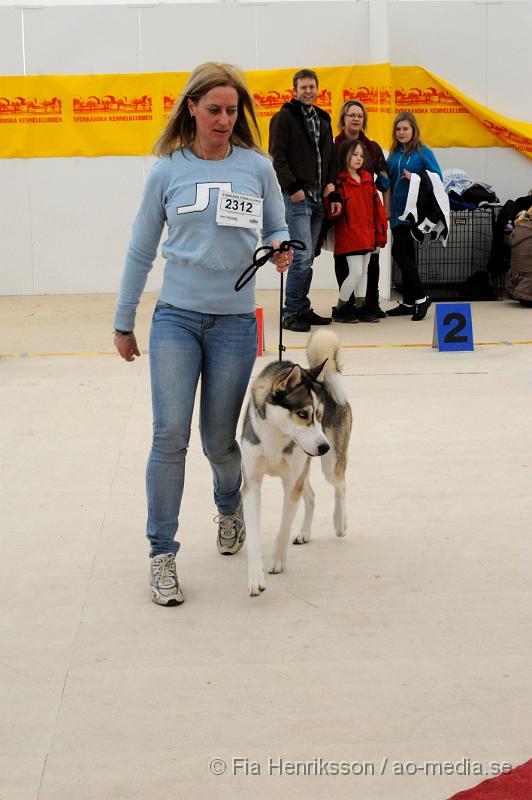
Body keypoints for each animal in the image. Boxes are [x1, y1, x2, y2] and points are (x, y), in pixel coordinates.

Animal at [242, 328, 352, 596]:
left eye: (320, 415)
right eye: (303, 414)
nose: (324, 447)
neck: (277, 434)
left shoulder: (291, 483)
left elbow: (283, 527)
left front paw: (277, 561)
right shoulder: (251, 484)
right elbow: (253, 537)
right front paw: (255, 577)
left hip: (330, 464)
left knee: (341, 484)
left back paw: (340, 521)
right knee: (311, 496)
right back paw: (304, 532)